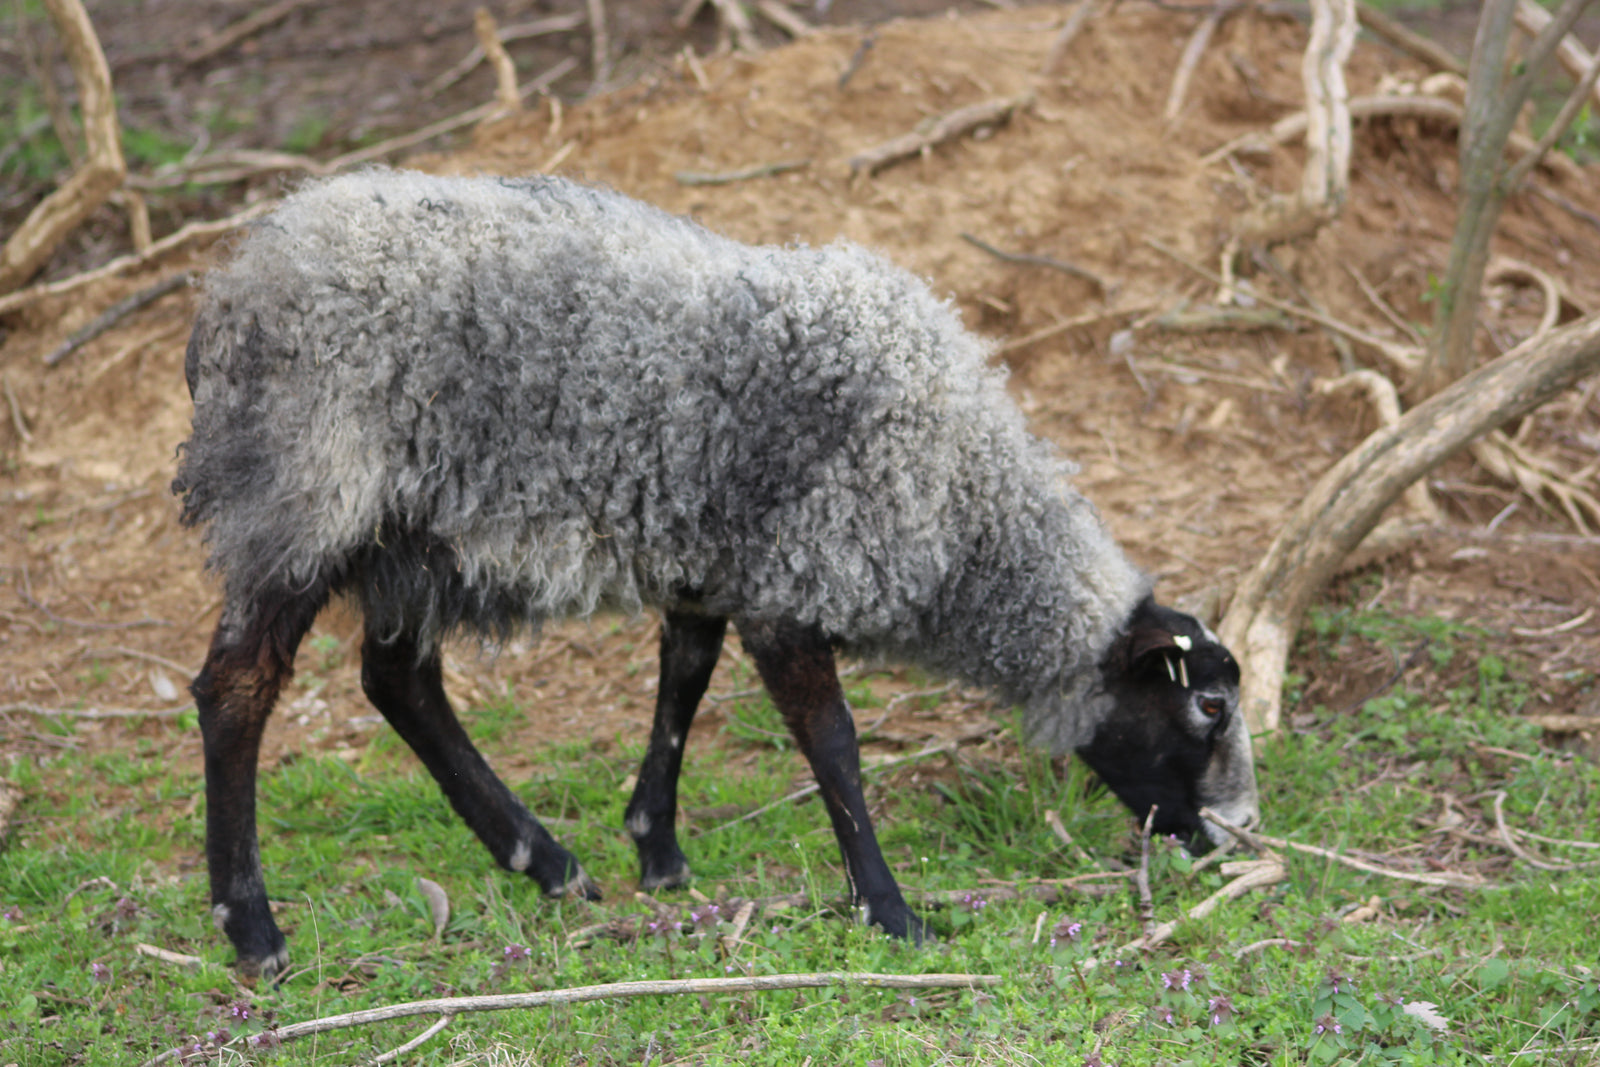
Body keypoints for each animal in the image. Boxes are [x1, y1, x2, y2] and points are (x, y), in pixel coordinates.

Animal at [174, 167, 1259, 979]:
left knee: (397, 680)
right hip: (309, 494)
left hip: (412, 538)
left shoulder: (713, 560)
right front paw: (889, 908)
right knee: (237, 689)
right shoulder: (793, 580)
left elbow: (682, 682)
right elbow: (834, 744)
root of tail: (233, 285)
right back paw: (253, 928)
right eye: (1205, 707)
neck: (962, 506)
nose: (1239, 833)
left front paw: (655, 846)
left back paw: (545, 860)